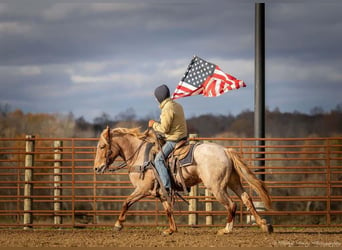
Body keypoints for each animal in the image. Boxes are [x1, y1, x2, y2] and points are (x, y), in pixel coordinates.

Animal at [93, 127, 272, 234]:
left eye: (102, 146)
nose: (96, 168)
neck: (140, 156)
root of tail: (225, 150)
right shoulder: (161, 192)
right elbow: (168, 210)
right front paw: (171, 230)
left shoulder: (142, 189)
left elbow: (126, 202)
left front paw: (118, 224)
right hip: (233, 182)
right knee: (246, 199)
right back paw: (264, 225)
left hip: (217, 187)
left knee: (232, 204)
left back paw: (226, 229)